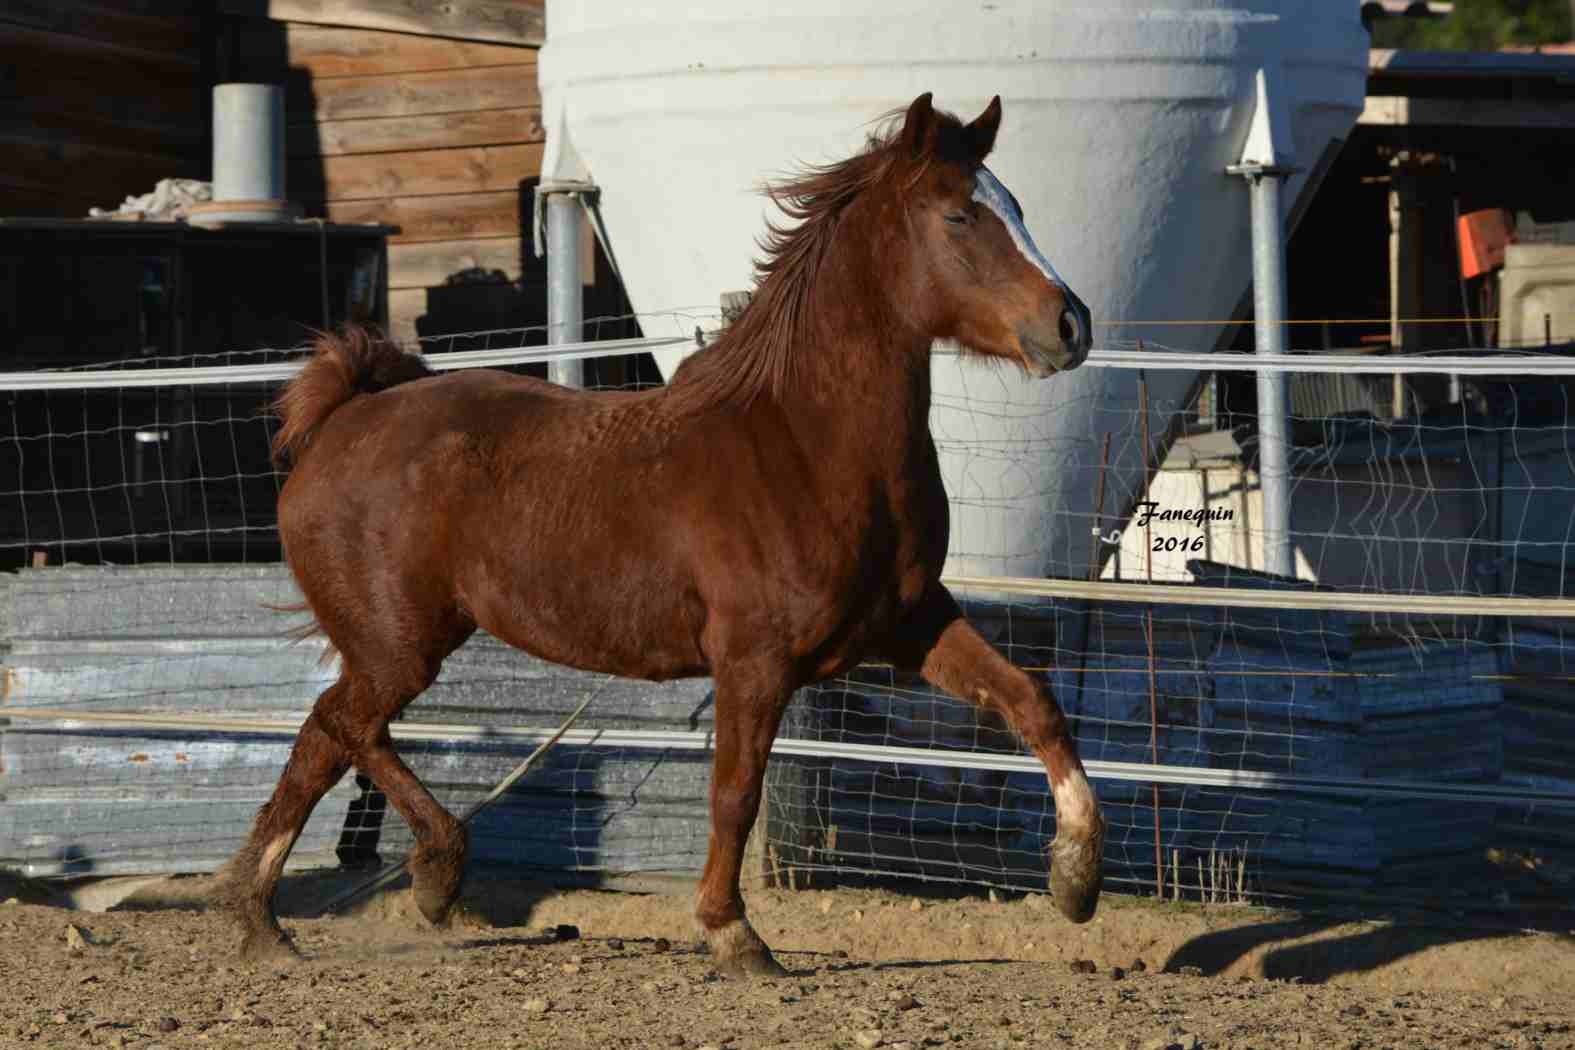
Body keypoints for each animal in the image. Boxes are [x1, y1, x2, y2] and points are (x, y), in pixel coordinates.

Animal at [215, 92, 1108, 976]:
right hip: (399, 645)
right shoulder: (753, 661)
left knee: (332, 737)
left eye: (1016, 206)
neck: (804, 443)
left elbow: (1033, 703)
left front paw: (1075, 884)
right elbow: (734, 793)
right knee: (339, 728)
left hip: (396, 645)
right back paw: (370, 890)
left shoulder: (909, 624)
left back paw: (317, 910)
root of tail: (346, 416)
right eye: (958, 215)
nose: (1070, 325)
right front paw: (733, 934)